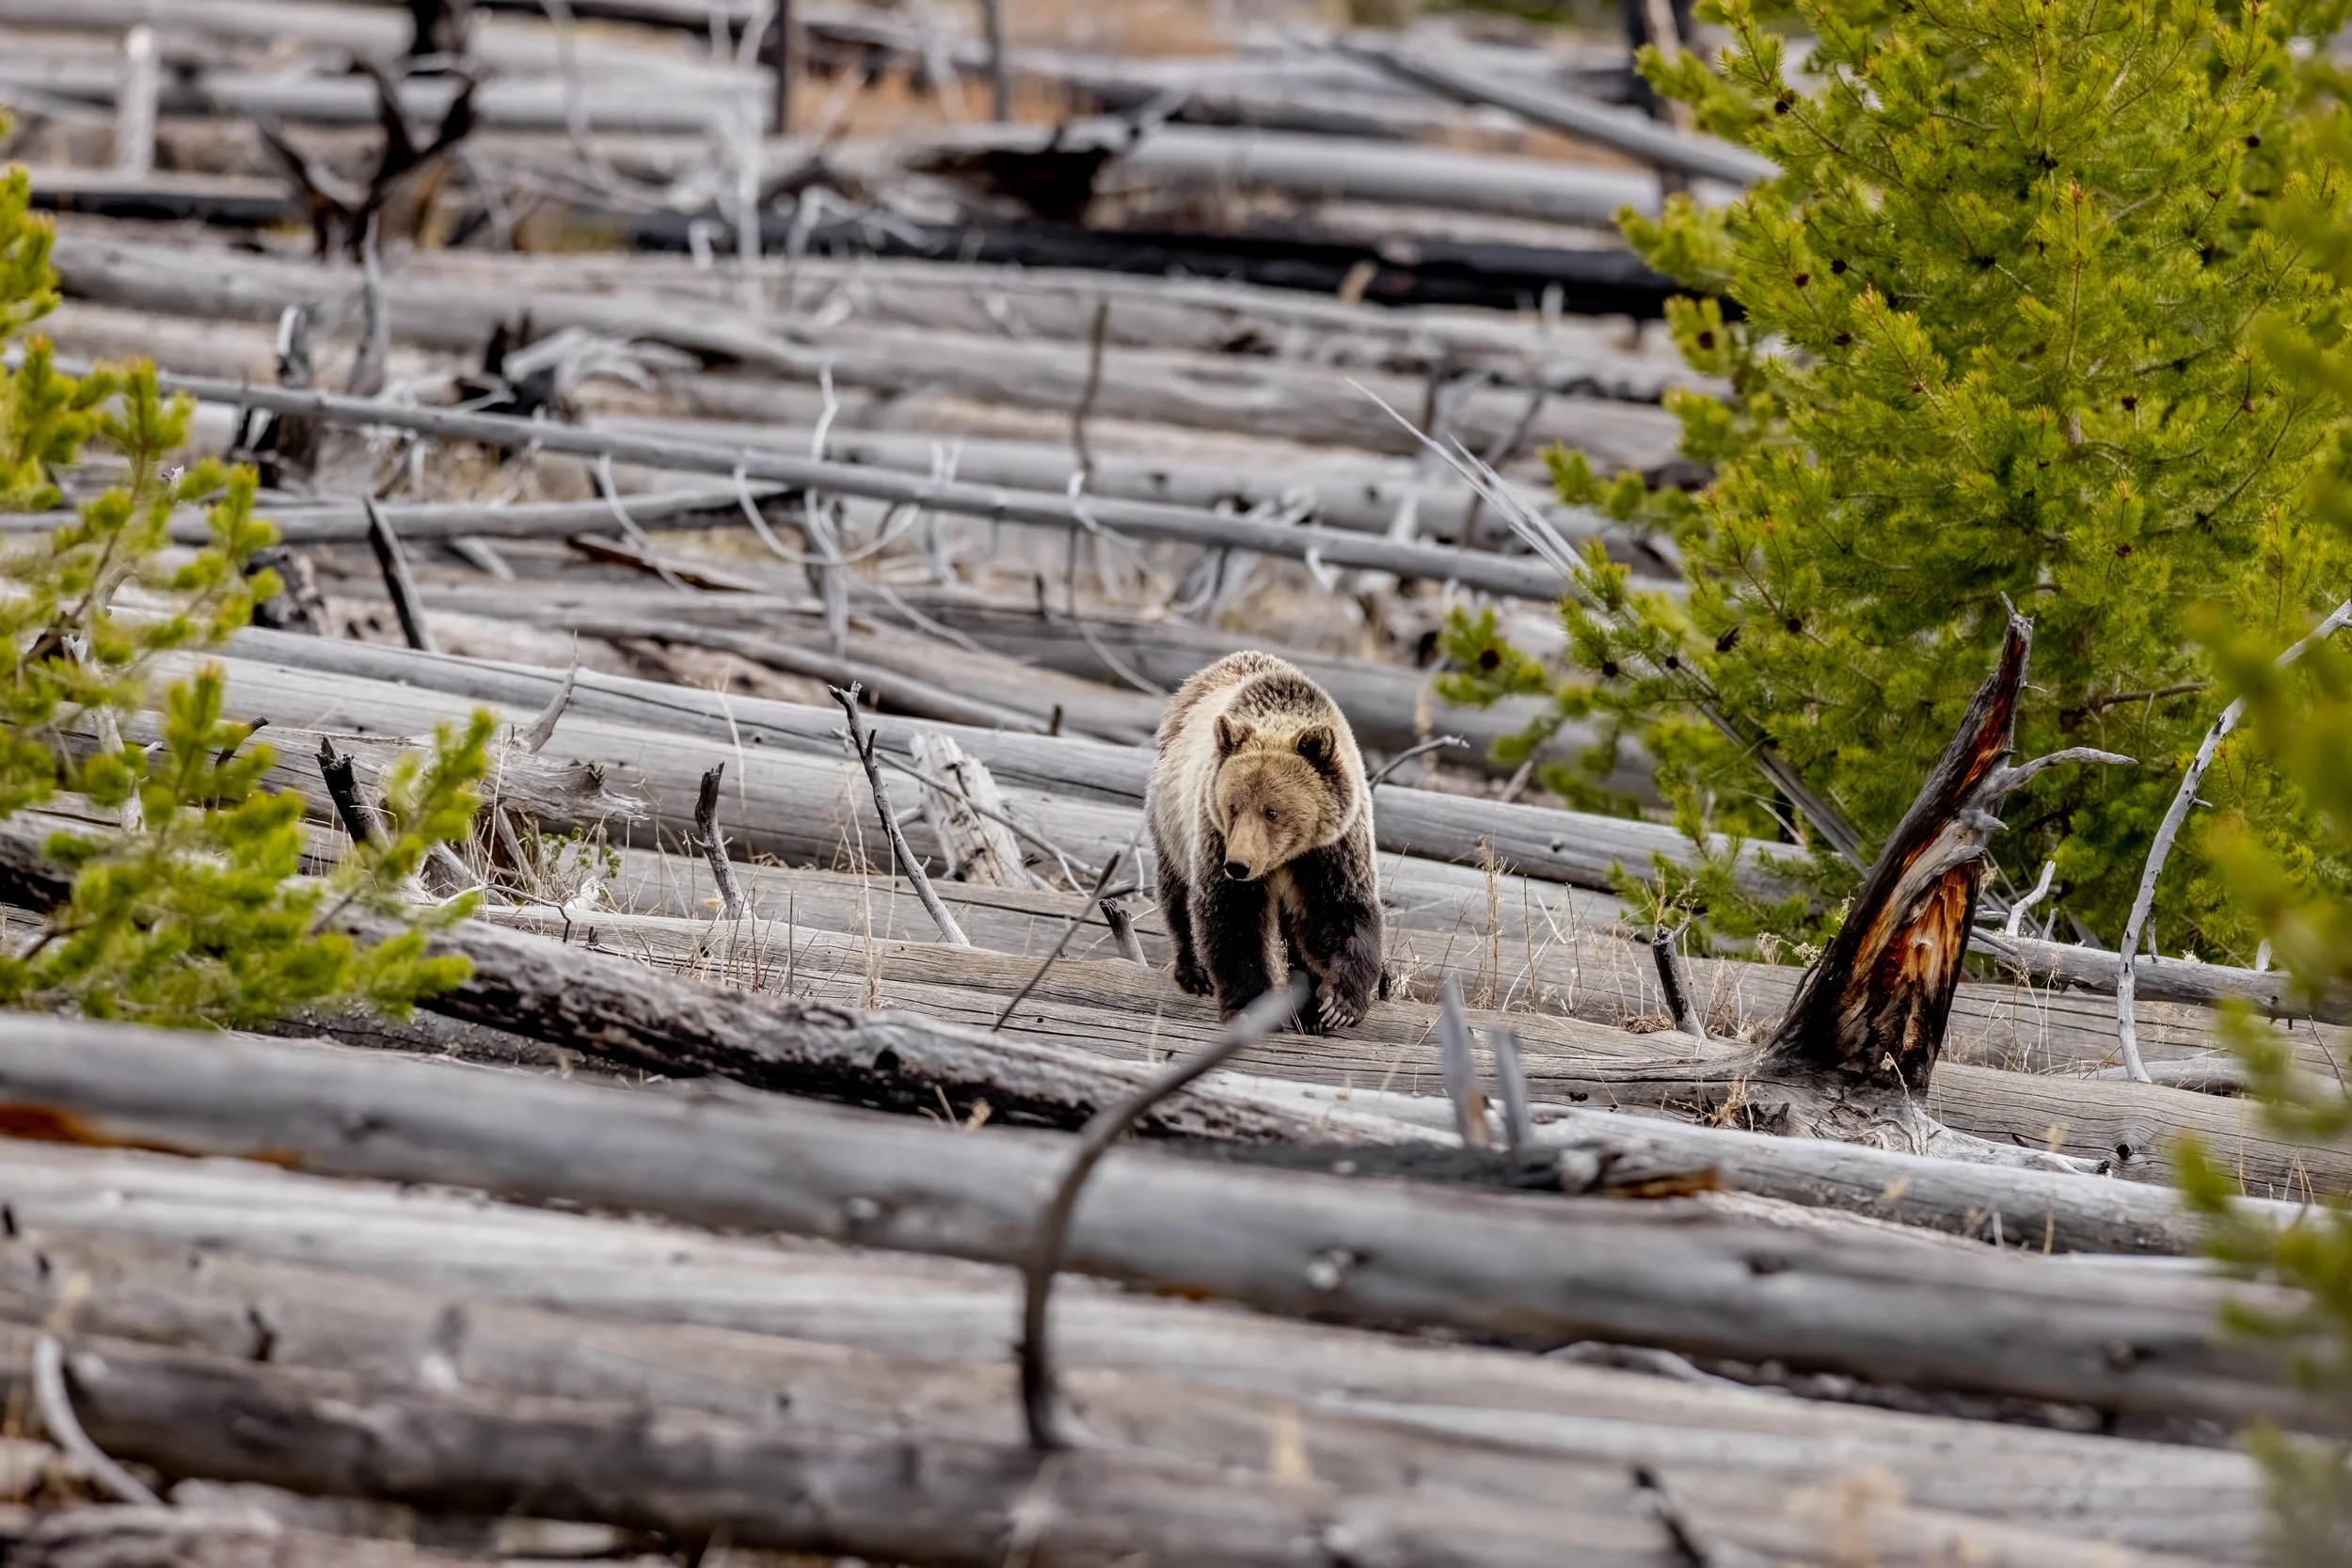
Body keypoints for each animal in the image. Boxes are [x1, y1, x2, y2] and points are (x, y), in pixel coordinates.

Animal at [1146, 651, 1385, 1033]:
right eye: (1233, 806)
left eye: (1271, 811)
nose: (1238, 864)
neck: (1286, 855)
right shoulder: (1216, 835)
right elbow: (1233, 917)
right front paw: (1249, 1007)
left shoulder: (1331, 849)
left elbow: (1340, 913)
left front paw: (1336, 1005)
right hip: (1171, 820)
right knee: (1176, 892)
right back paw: (1193, 972)